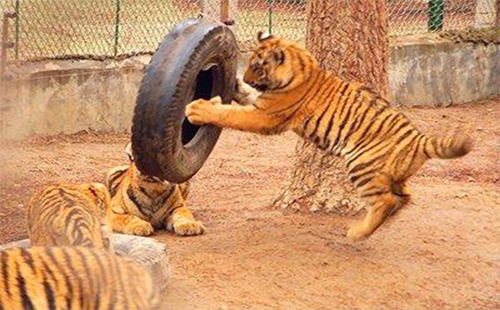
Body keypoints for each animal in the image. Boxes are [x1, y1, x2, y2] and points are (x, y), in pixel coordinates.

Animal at [187, 33, 472, 242]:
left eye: (257, 66)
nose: (245, 76)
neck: (300, 65)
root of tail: (418, 138)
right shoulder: (262, 104)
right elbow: (244, 96)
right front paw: (235, 84)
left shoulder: (266, 115)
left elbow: (230, 114)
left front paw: (198, 109)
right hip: (395, 175)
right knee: (404, 197)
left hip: (362, 165)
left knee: (385, 201)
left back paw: (357, 232)